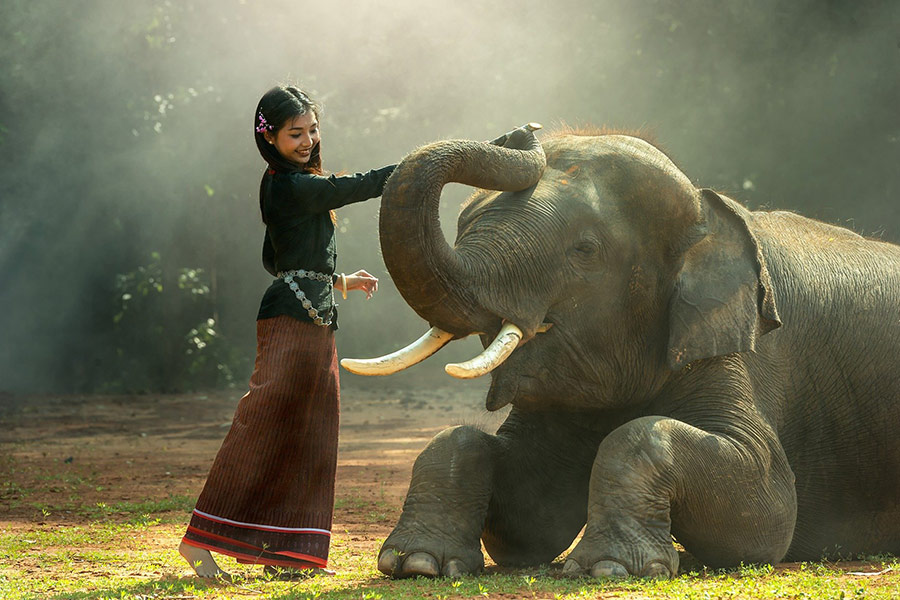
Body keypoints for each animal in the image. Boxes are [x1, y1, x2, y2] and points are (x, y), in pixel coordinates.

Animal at [341, 124, 900, 578]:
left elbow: (768, 509)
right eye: (462, 228)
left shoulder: (734, 343)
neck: (707, 208)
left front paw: (609, 568)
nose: (523, 131)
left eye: (584, 250)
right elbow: (527, 515)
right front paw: (417, 564)